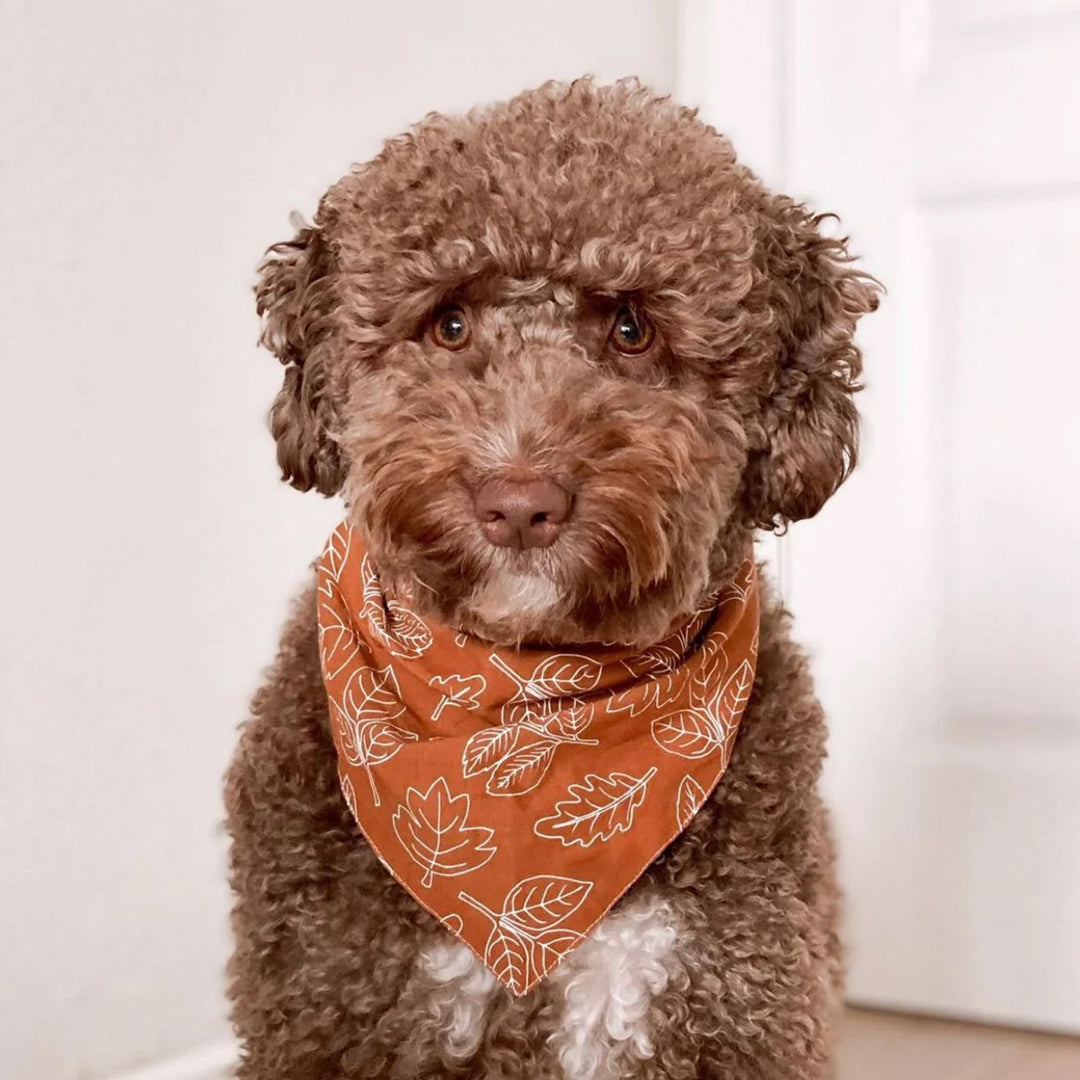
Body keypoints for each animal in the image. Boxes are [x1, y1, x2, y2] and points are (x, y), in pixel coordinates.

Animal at [225, 78, 876, 1080]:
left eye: (632, 327)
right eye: (449, 322)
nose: (519, 503)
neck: (527, 712)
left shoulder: (728, 994)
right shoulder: (324, 1003)